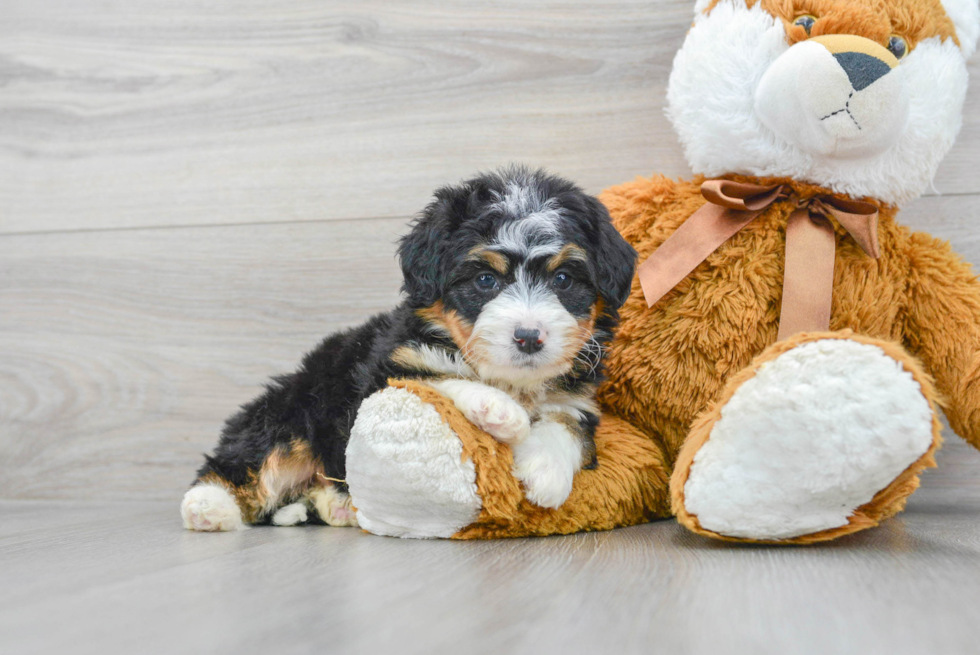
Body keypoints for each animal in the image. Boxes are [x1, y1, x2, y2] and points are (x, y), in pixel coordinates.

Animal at [180, 165, 640, 532]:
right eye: (485, 280)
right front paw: (499, 410)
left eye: (563, 280)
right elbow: (436, 379)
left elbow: (568, 422)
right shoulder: (384, 371)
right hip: (292, 413)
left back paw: (335, 506)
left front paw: (546, 471)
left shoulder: (580, 396)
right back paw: (208, 506)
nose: (529, 336)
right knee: (250, 460)